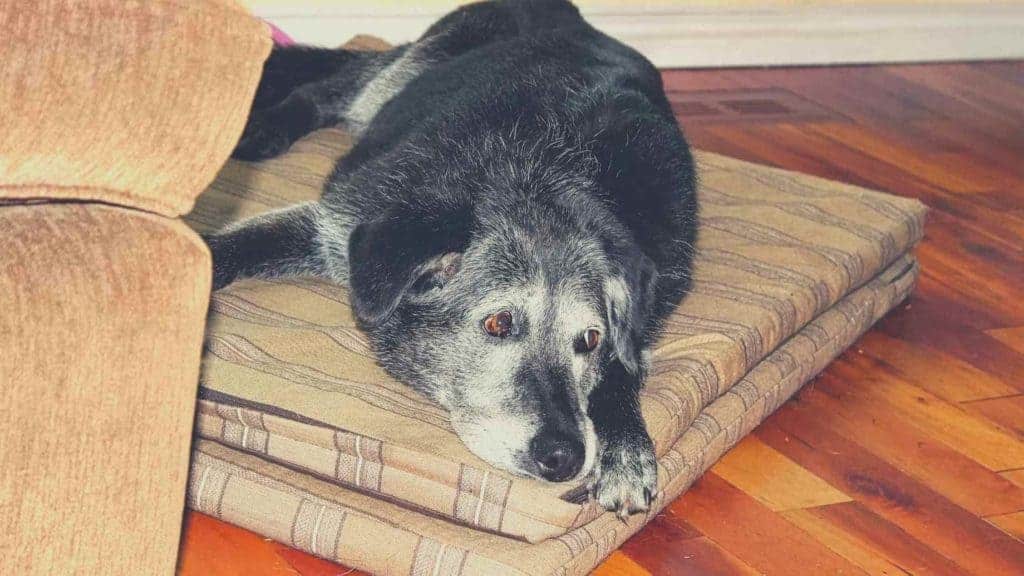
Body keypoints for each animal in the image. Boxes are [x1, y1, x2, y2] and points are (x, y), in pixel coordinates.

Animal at [209, 0, 704, 516]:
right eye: (498, 323)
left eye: (589, 339)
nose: (565, 457)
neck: (543, 175)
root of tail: (566, 14)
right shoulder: (333, 228)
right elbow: (225, 248)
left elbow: (622, 369)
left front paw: (626, 446)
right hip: (398, 74)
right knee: (329, 86)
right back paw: (267, 128)